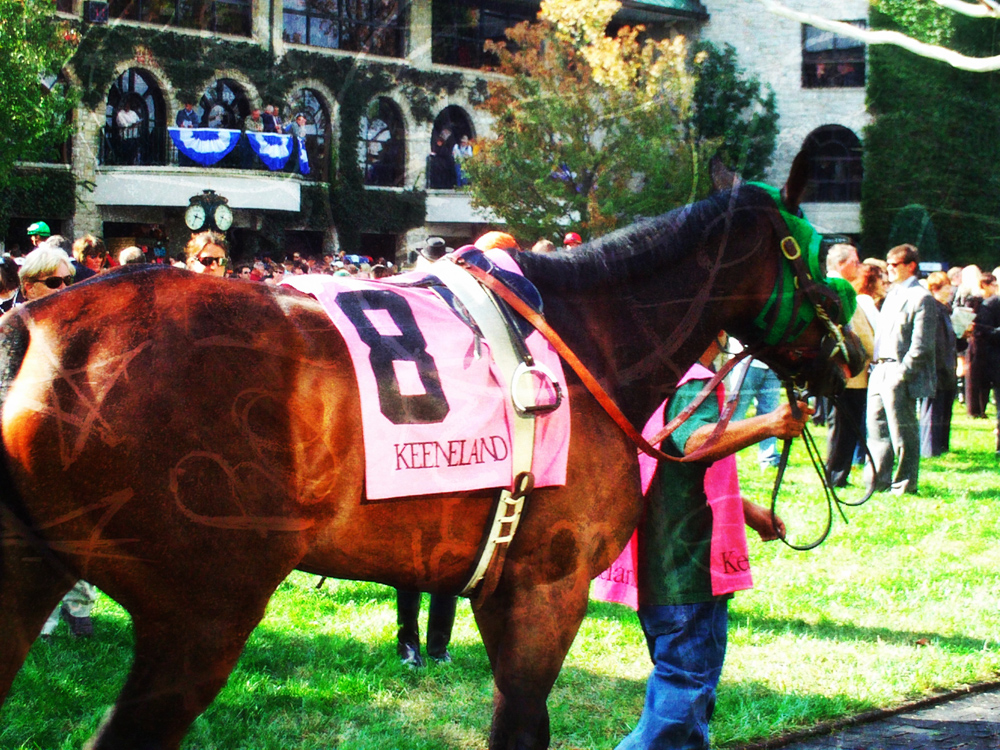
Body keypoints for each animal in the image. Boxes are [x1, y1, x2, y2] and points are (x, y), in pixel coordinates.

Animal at [0, 178, 860, 750]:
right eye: (819, 255)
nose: (855, 354)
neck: (588, 336)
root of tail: (31, 322)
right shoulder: (547, 589)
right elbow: (523, 726)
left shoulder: (496, 587)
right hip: (201, 612)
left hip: (33, 574)